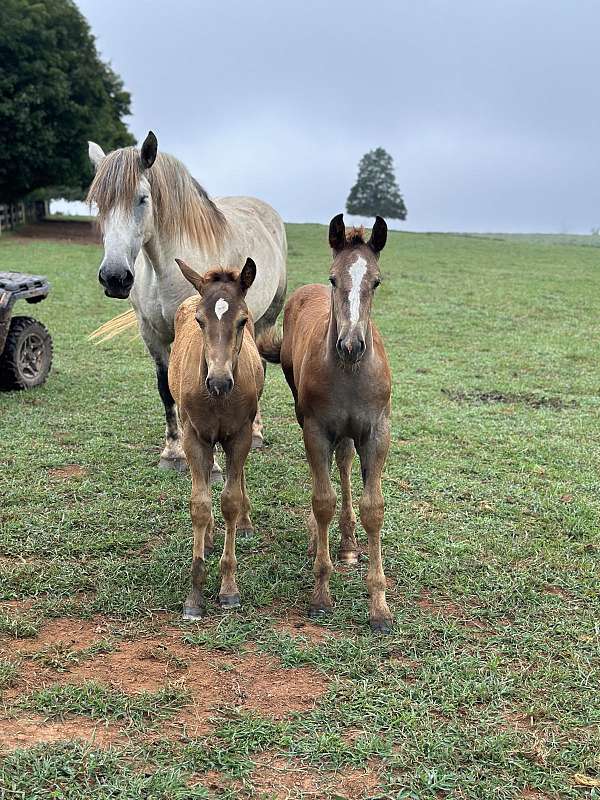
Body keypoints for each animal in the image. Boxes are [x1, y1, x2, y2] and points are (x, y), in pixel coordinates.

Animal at [168, 258, 264, 620]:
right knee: (208, 477)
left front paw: (229, 589)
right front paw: (194, 595)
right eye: (199, 320)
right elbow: (200, 504)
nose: (219, 382)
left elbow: (230, 501)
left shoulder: (239, 437)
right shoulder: (194, 437)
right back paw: (208, 538)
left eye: (242, 321)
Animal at [258, 216, 394, 636]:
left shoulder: (377, 433)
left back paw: (348, 545)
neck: (349, 372)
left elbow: (373, 507)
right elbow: (322, 501)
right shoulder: (316, 430)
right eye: (334, 278)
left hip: (351, 433)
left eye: (376, 281)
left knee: (345, 463)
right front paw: (320, 594)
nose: (351, 345)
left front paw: (379, 607)